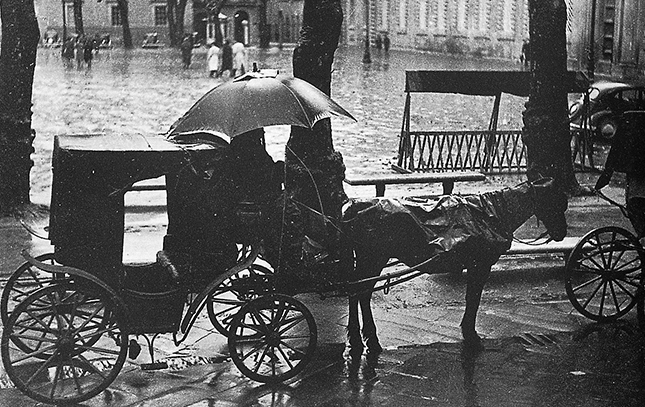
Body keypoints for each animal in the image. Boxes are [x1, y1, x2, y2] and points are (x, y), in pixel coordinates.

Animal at [340, 178, 568, 356]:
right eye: (556, 202)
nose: (561, 233)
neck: (491, 213)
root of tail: (352, 208)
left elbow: (471, 298)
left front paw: (468, 332)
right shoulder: (480, 265)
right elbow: (473, 298)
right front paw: (471, 335)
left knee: (356, 291)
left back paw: (358, 338)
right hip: (373, 258)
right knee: (361, 292)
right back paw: (369, 339)